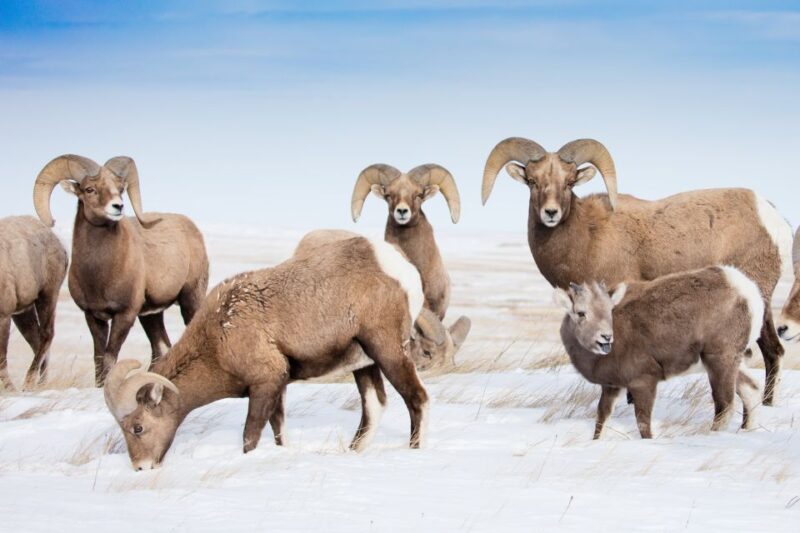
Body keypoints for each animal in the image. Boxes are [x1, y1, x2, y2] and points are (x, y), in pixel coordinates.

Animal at [0, 216, 67, 390]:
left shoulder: (4, 316)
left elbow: (2, 358)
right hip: (23, 313)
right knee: (35, 340)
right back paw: (40, 383)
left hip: (47, 296)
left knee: (46, 335)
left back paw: (29, 384)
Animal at [33, 154, 209, 386]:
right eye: (89, 189)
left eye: (120, 189)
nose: (118, 206)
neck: (99, 274)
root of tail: (192, 229)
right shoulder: (94, 316)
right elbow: (99, 357)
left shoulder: (125, 315)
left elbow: (110, 357)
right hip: (151, 315)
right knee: (160, 348)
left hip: (190, 300)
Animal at [103, 235, 436, 470]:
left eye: (137, 427)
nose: (142, 467)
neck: (217, 336)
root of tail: (400, 267)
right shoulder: (279, 385)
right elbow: (278, 431)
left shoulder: (264, 383)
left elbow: (250, 435)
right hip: (363, 362)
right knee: (374, 406)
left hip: (387, 350)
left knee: (417, 398)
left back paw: (414, 450)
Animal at [482, 137, 792, 405]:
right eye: (532, 181)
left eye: (569, 182)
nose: (551, 213)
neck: (587, 236)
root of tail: (772, 218)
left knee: (772, 352)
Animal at [555, 266, 763, 439]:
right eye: (581, 313)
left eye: (610, 310)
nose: (606, 337)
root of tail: (746, 291)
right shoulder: (612, 387)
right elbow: (601, 420)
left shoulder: (643, 382)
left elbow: (643, 424)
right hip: (729, 363)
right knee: (751, 389)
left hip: (719, 360)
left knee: (724, 405)